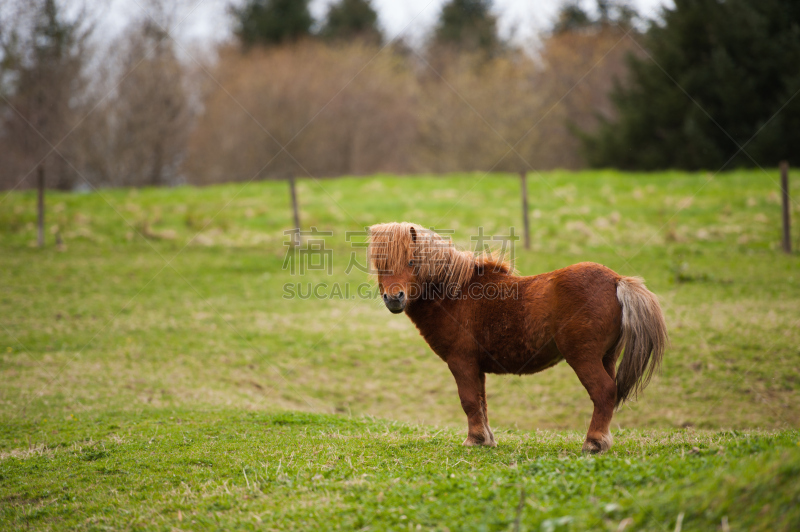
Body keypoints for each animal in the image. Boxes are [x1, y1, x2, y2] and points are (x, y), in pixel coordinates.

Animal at [370, 221, 668, 454]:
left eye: (411, 262)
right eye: (379, 265)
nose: (394, 298)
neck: (455, 294)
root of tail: (617, 281)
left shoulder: (461, 362)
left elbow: (468, 400)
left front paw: (474, 440)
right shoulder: (476, 367)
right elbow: (481, 402)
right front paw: (486, 439)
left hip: (584, 358)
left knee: (603, 392)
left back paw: (593, 443)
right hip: (607, 358)